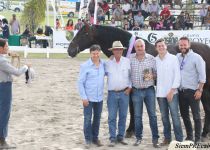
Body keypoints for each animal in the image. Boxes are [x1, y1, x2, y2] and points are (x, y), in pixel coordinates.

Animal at [67, 24, 210, 138]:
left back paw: (203, 134)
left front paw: (130, 130)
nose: (70, 50)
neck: (132, 50)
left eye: (84, 34)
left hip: (204, 88)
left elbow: (132, 108)